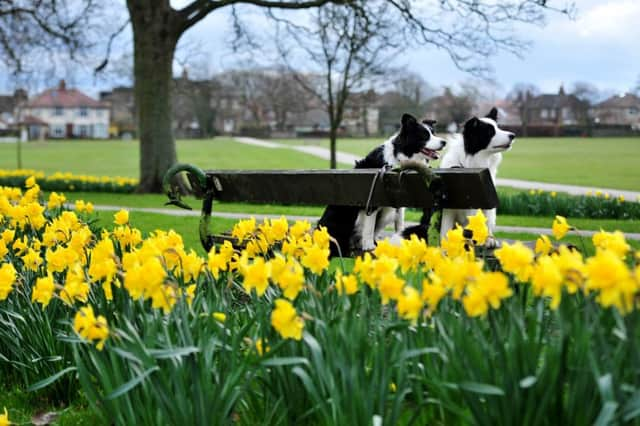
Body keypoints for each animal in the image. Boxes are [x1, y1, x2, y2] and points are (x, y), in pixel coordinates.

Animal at [318, 113, 444, 256]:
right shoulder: (372, 201)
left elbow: (399, 224)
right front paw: (369, 247)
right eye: (424, 136)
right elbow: (369, 227)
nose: (444, 142)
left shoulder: (399, 203)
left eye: (433, 133)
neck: (398, 157)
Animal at [440, 106, 516, 246]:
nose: (513, 135)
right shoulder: (449, 207)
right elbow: (445, 230)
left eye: (498, 128)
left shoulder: (487, 199)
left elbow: (485, 223)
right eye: (490, 132)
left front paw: (488, 239)